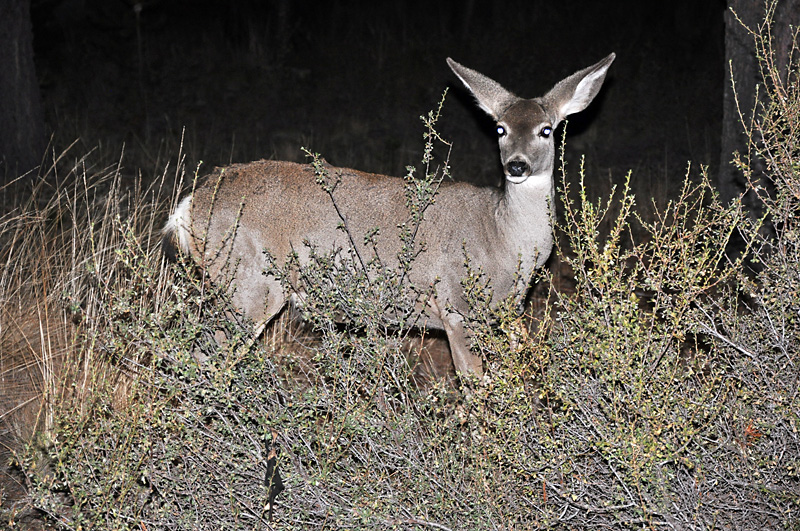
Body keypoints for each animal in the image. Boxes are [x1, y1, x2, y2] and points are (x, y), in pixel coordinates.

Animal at [161, 53, 612, 378]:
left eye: (546, 130)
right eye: (499, 128)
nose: (516, 166)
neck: (503, 239)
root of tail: (189, 207)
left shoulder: (508, 314)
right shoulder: (456, 307)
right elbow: (474, 384)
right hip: (249, 283)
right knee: (203, 353)